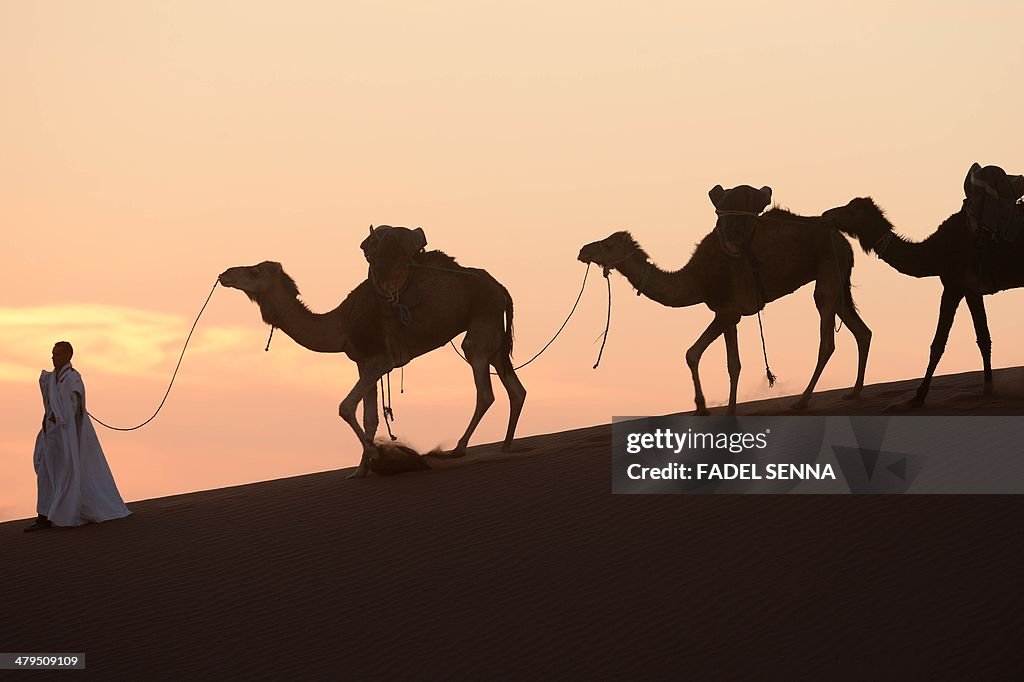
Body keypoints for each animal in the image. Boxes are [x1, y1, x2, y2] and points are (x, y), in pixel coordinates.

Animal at [218, 241, 528, 475]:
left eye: (255, 271)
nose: (225, 274)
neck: (340, 324)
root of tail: (500, 287)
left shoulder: (380, 360)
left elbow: (345, 407)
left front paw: (376, 455)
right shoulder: (362, 362)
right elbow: (370, 416)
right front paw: (361, 470)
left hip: (482, 321)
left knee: (484, 389)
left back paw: (458, 449)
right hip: (494, 332)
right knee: (516, 388)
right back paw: (506, 445)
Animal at [577, 183, 872, 411]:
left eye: (609, 244)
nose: (583, 251)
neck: (696, 278)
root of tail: (842, 239)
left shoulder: (727, 311)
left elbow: (692, 354)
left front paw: (703, 407)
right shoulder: (729, 315)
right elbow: (732, 364)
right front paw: (728, 410)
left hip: (828, 270)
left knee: (827, 339)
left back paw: (802, 400)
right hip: (837, 278)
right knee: (861, 330)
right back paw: (855, 391)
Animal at [823, 179, 1024, 403]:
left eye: (851, 210)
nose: (826, 215)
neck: (934, 252)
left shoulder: (953, 285)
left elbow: (938, 344)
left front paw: (919, 396)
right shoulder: (971, 290)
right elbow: (983, 338)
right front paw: (988, 389)